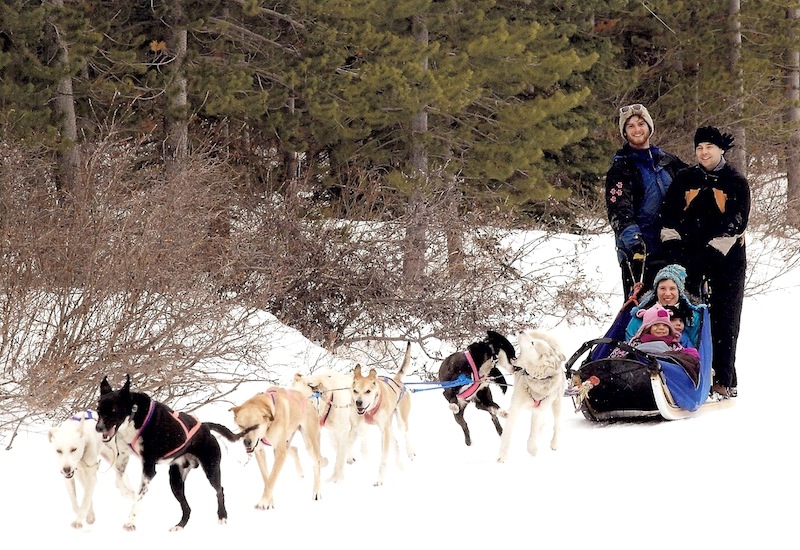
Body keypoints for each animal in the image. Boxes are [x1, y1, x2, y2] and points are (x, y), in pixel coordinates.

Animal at [96, 378, 238, 532]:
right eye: (98, 410)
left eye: (113, 410)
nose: (98, 428)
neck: (134, 416)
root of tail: (205, 427)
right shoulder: (123, 455)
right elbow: (119, 481)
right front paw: (128, 494)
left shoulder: (148, 469)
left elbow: (139, 498)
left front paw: (130, 522)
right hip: (175, 480)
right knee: (187, 507)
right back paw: (179, 526)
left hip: (211, 469)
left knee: (219, 490)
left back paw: (222, 516)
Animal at [350, 342, 416, 490]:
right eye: (355, 391)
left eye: (368, 391)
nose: (359, 403)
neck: (370, 409)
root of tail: (397, 381)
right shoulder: (356, 426)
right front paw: (348, 457)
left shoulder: (384, 432)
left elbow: (383, 461)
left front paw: (380, 480)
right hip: (388, 428)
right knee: (396, 444)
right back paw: (400, 467)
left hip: (399, 423)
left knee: (406, 433)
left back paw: (410, 452)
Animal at [496, 332, 564, 466]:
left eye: (532, 343)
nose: (522, 331)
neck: (535, 380)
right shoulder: (516, 407)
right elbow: (507, 435)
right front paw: (502, 456)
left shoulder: (538, 411)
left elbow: (533, 433)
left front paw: (532, 449)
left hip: (556, 405)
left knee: (556, 425)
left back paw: (554, 443)